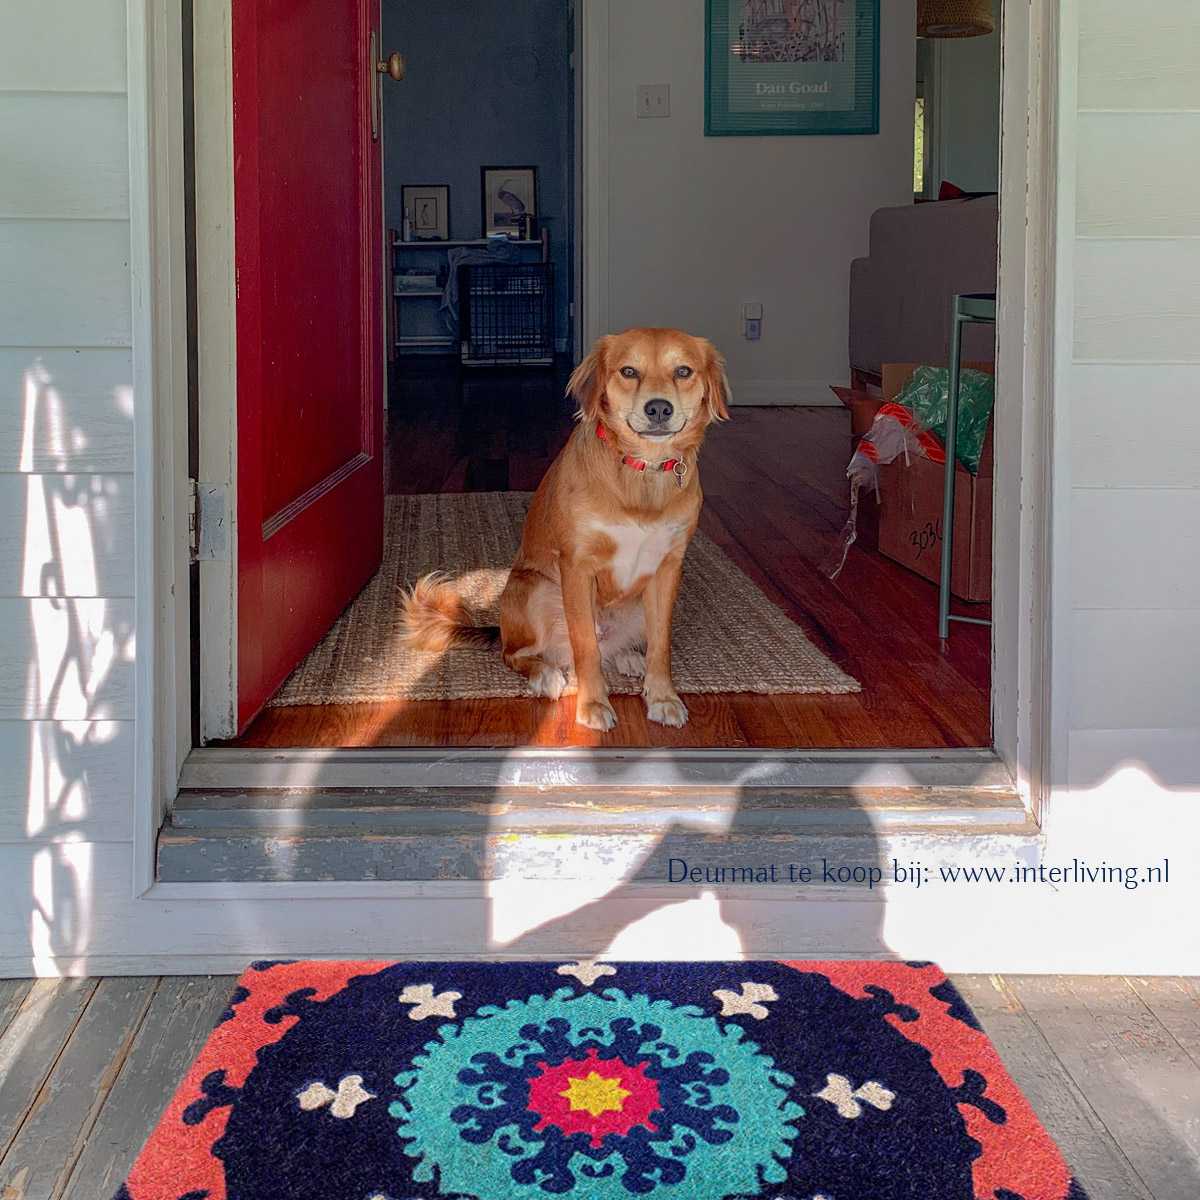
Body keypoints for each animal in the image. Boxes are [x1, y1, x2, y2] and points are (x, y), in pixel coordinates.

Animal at [400, 324, 729, 729]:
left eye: (683, 371)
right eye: (628, 371)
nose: (658, 408)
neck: (642, 472)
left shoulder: (668, 568)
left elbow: (660, 644)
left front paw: (662, 696)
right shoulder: (576, 566)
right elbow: (585, 645)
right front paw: (593, 705)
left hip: (635, 601)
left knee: (615, 647)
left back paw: (628, 657)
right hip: (534, 589)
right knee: (518, 654)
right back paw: (546, 674)